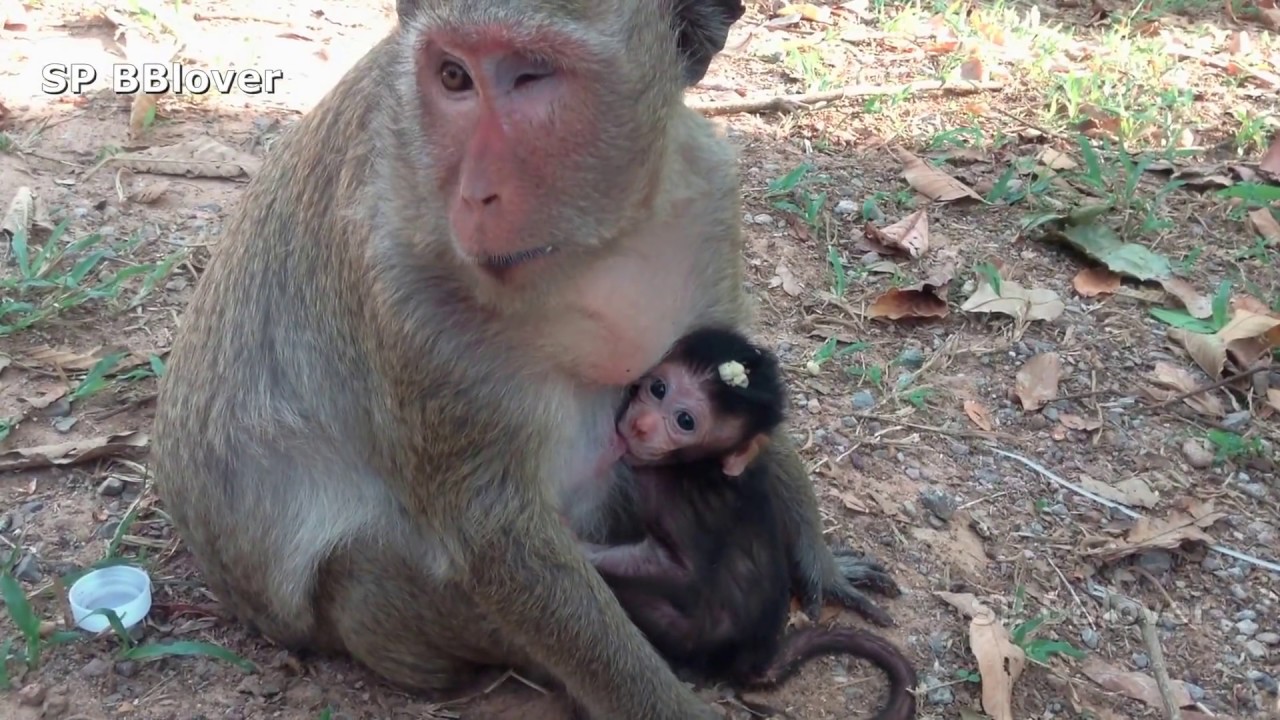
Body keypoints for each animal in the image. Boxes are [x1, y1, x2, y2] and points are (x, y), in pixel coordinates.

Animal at [581, 327, 917, 720]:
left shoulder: (684, 504)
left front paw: (579, 548)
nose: (641, 424)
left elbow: (681, 574)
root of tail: (756, 660)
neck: (699, 467)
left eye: (685, 422)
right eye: (659, 388)